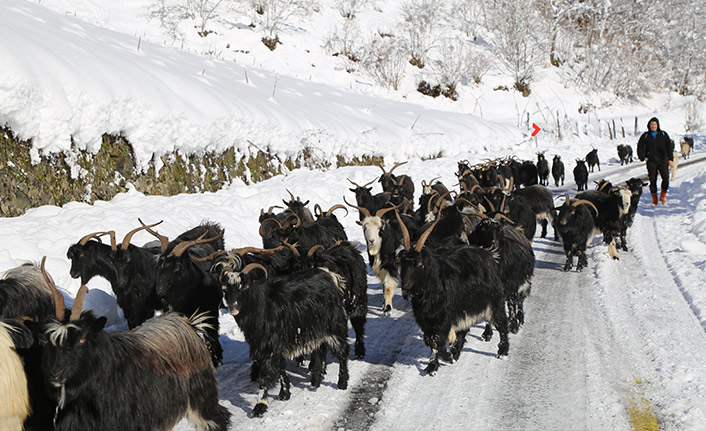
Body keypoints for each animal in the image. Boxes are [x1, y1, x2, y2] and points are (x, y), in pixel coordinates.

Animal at [221, 264, 348, 418]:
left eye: (244, 287)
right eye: (225, 289)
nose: (232, 306)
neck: (261, 306)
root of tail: (330, 275)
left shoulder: (269, 347)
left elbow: (264, 376)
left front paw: (260, 406)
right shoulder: (272, 346)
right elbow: (280, 367)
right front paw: (284, 393)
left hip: (334, 326)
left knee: (342, 352)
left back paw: (342, 383)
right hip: (316, 329)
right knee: (320, 350)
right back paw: (316, 380)